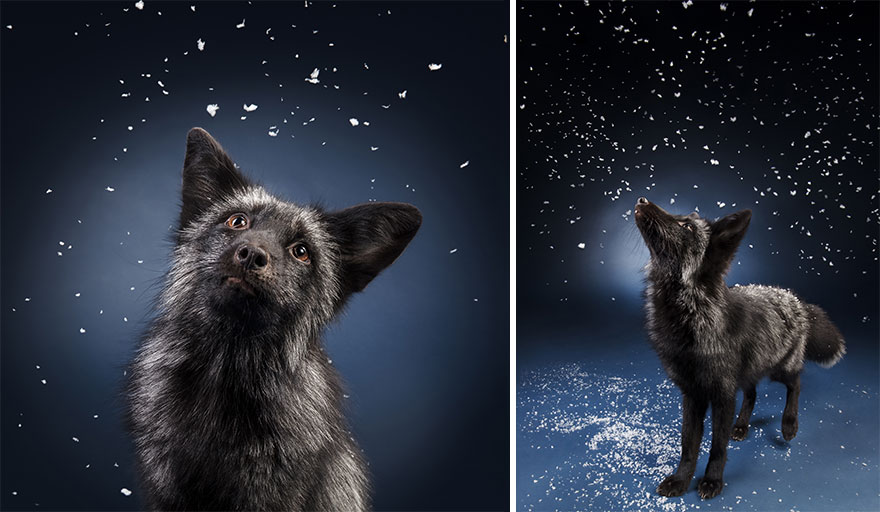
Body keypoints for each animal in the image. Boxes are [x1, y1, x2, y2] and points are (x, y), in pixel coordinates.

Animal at [633, 196, 845, 500]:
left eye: (686, 226)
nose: (642, 199)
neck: (692, 316)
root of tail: (797, 301)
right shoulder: (693, 394)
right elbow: (688, 446)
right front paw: (681, 480)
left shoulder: (722, 395)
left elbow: (717, 446)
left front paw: (712, 481)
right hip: (749, 370)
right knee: (752, 393)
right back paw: (743, 425)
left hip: (780, 368)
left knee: (796, 383)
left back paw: (789, 423)